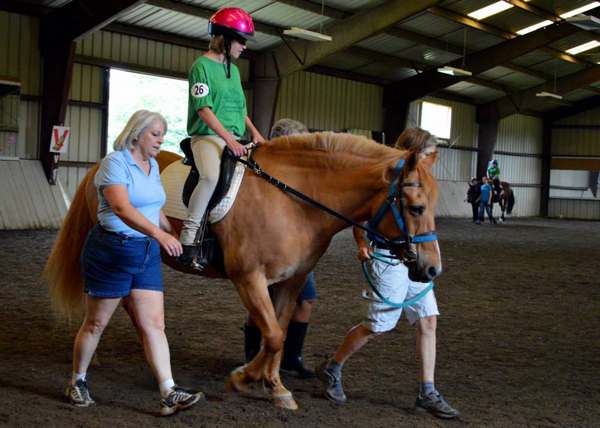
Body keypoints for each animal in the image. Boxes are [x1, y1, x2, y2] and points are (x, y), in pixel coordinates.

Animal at [45, 132, 440, 410]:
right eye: (416, 208)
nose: (432, 269)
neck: (292, 201)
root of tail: (98, 166)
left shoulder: (291, 281)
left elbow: (278, 333)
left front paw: (276, 388)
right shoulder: (249, 278)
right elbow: (274, 336)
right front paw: (241, 379)